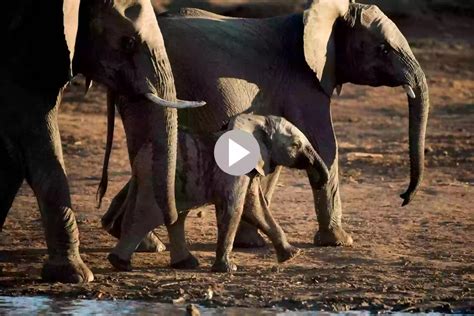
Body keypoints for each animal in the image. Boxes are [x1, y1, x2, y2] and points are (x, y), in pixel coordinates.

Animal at [103, 0, 430, 252]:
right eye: (384, 49)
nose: (404, 198)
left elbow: (273, 154)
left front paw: (251, 240)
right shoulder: (304, 81)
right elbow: (325, 144)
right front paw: (340, 242)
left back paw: (130, 236)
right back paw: (145, 241)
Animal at [109, 113, 328, 272]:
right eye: (295, 145)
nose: (319, 181)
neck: (255, 120)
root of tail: (139, 159)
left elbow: (254, 208)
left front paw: (292, 254)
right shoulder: (233, 169)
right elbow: (234, 208)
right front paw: (229, 269)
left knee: (175, 217)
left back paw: (185, 264)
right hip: (155, 180)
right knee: (148, 216)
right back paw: (120, 264)